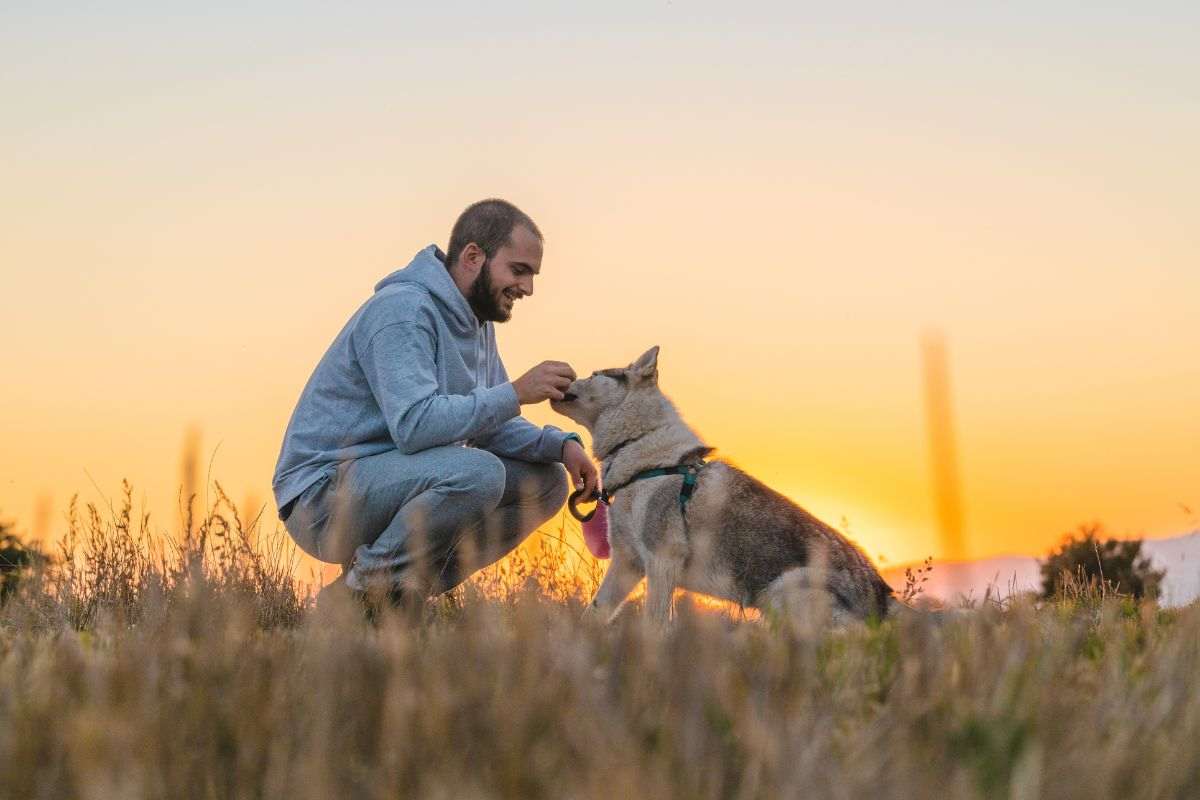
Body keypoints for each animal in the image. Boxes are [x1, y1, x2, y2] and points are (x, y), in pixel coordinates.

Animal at [549, 345, 897, 623]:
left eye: (595, 374)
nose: (565, 372)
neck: (641, 451)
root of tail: (885, 596)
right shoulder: (627, 562)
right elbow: (594, 613)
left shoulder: (661, 561)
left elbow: (654, 625)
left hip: (781, 595)